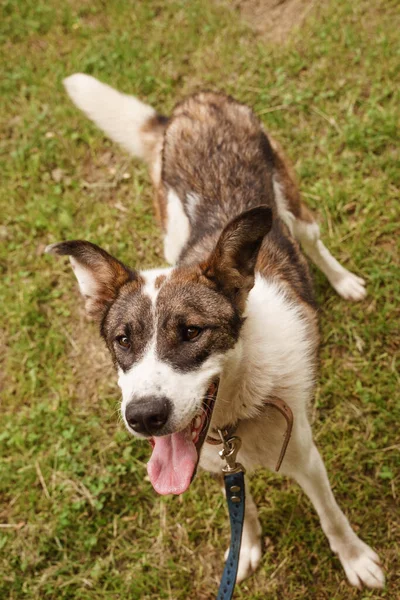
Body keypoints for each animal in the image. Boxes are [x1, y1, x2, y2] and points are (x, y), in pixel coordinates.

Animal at [46, 72, 384, 588]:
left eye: (191, 332)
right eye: (123, 339)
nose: (144, 417)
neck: (232, 417)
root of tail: (196, 103)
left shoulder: (306, 457)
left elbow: (332, 517)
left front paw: (355, 559)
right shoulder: (213, 464)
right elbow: (241, 509)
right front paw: (244, 549)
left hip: (291, 202)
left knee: (313, 240)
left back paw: (342, 281)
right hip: (171, 226)